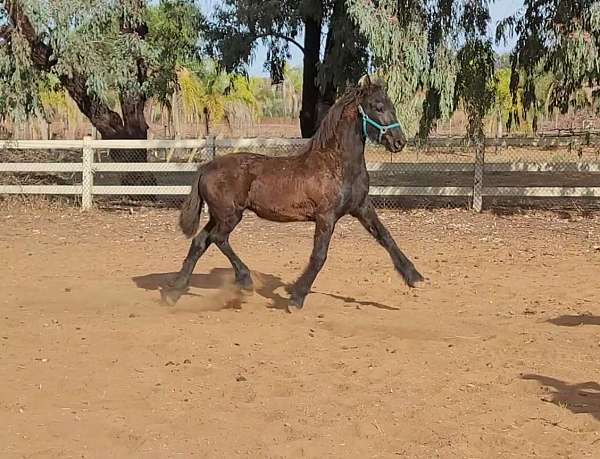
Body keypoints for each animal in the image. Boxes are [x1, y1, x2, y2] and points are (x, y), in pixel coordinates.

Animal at [166, 76, 424, 312]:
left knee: (200, 241)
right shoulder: (326, 217)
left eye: (392, 106)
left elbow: (386, 237)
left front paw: (414, 277)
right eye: (377, 106)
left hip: (218, 215)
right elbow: (319, 256)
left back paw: (174, 293)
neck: (336, 164)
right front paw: (296, 298)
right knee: (218, 239)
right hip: (230, 215)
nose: (399, 142)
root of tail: (206, 167)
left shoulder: (361, 207)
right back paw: (244, 279)